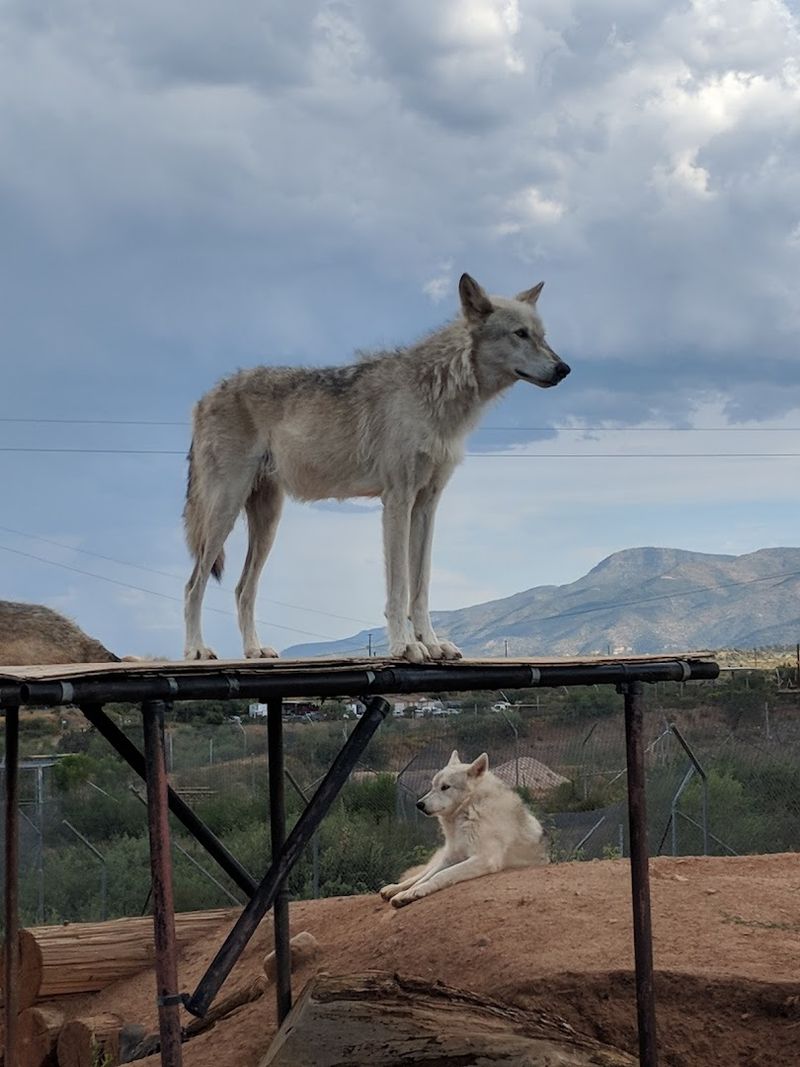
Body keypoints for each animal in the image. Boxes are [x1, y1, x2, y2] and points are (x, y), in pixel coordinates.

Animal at [183, 273, 570, 662]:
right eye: (520, 333)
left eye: (543, 335)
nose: (565, 369)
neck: (435, 393)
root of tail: (203, 398)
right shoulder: (397, 500)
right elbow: (399, 587)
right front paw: (405, 645)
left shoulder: (426, 506)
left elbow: (421, 587)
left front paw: (432, 643)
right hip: (225, 512)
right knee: (193, 585)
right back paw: (197, 650)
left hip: (268, 520)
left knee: (242, 589)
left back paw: (254, 650)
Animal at [380, 749, 549, 908]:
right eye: (433, 786)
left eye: (445, 787)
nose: (419, 804)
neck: (467, 812)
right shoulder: (451, 858)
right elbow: (425, 878)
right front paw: (406, 893)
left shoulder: (484, 859)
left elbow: (440, 876)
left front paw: (413, 893)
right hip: (442, 856)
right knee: (420, 874)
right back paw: (392, 889)